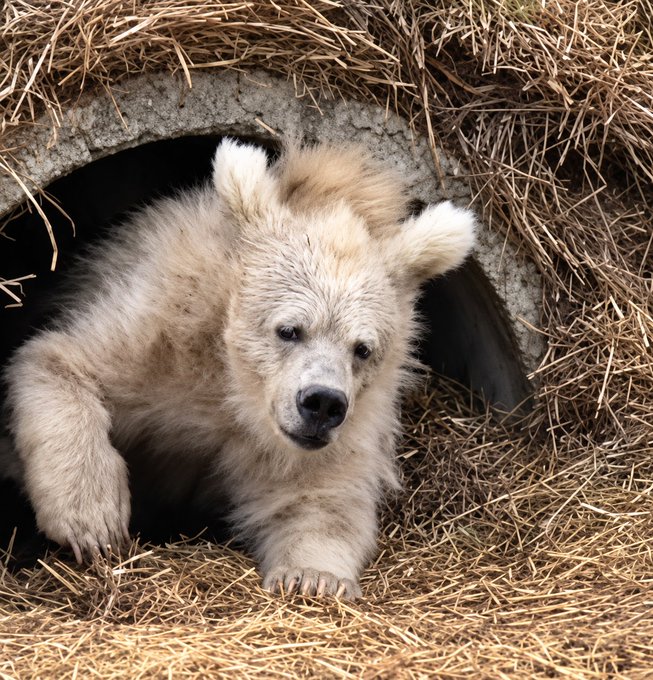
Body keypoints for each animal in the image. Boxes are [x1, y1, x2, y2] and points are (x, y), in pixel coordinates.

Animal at [3, 139, 476, 598]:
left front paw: (311, 577)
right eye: (289, 329)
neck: (235, 385)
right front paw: (92, 520)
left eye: (362, 349)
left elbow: (318, 497)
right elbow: (59, 359)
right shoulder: (159, 326)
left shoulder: (346, 423)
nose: (322, 404)